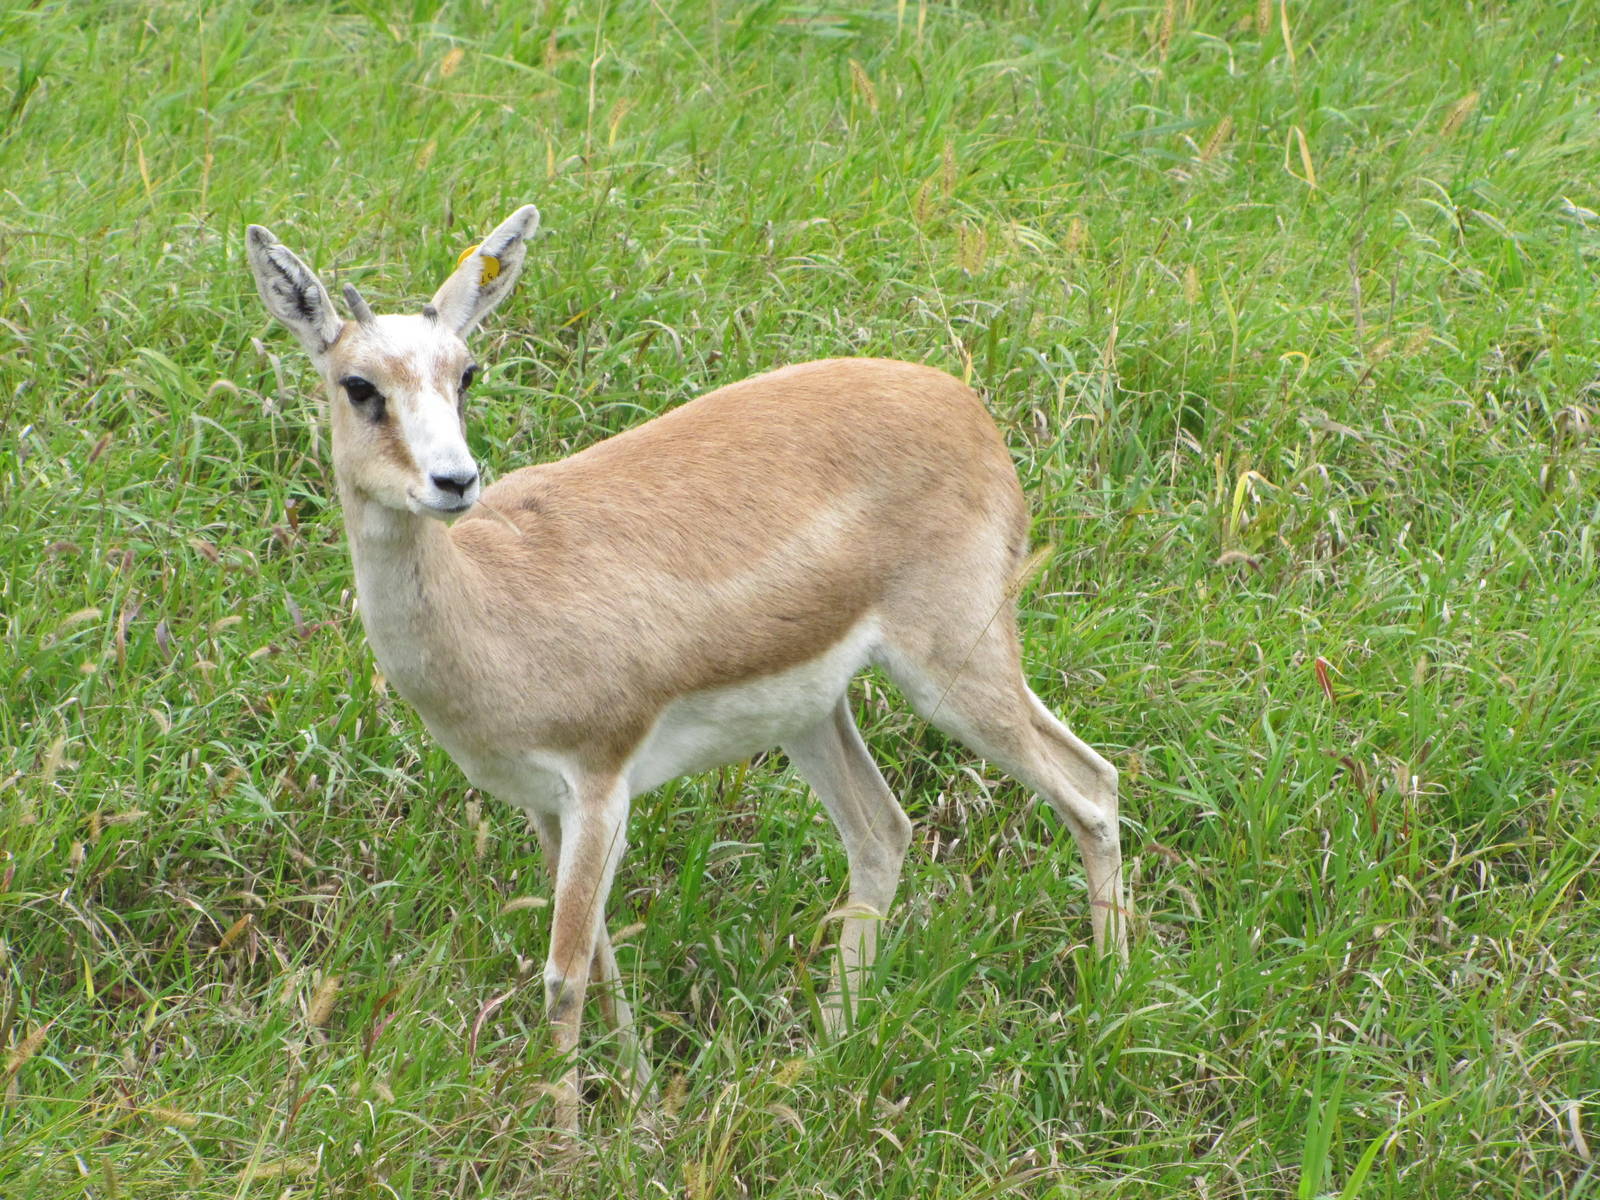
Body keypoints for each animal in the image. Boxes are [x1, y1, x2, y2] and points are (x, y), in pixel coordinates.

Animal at [245, 204, 1127, 1134]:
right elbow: (601, 961)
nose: (454, 481)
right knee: (884, 830)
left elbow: (562, 977)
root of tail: (964, 404)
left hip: (953, 666)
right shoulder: (544, 806)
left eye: (466, 372)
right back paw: (823, 1052)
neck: (492, 604)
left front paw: (567, 1141)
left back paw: (1107, 1001)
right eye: (359, 385)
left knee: (1091, 788)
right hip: (821, 712)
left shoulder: (601, 786)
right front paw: (636, 1104)